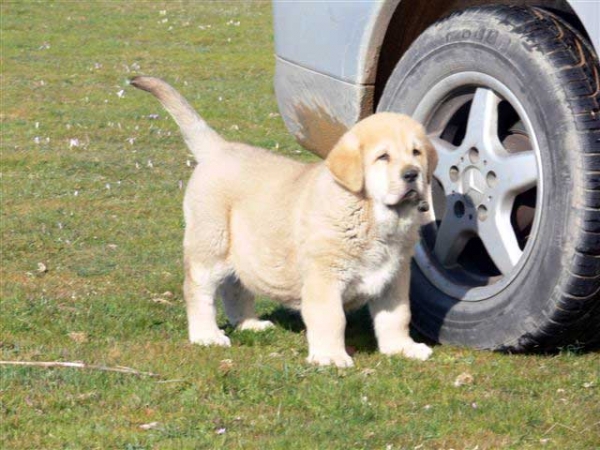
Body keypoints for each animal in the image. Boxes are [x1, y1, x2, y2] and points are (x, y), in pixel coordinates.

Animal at [131, 76, 438, 366]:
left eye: (416, 153)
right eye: (383, 157)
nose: (412, 174)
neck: (373, 217)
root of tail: (219, 149)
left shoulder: (394, 278)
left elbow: (397, 317)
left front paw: (402, 348)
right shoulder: (325, 277)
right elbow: (331, 318)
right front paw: (330, 356)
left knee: (235, 287)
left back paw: (249, 324)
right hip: (211, 245)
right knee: (198, 291)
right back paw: (206, 335)